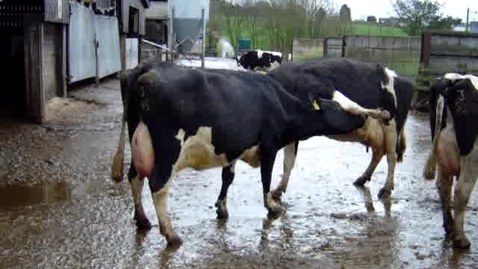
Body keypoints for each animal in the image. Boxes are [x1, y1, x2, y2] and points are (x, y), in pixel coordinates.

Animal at [109, 59, 388, 246]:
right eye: (341, 109)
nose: (366, 116)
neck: (279, 102)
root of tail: (147, 67)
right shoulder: (270, 144)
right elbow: (266, 178)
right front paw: (272, 206)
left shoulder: (234, 146)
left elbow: (227, 178)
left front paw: (222, 208)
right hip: (169, 148)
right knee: (158, 184)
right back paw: (171, 234)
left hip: (139, 139)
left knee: (135, 176)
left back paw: (142, 220)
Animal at [422, 72, 478, 248]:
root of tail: (454, 80)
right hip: (472, 156)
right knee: (461, 191)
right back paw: (461, 238)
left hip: (443, 154)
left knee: (443, 186)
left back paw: (449, 226)